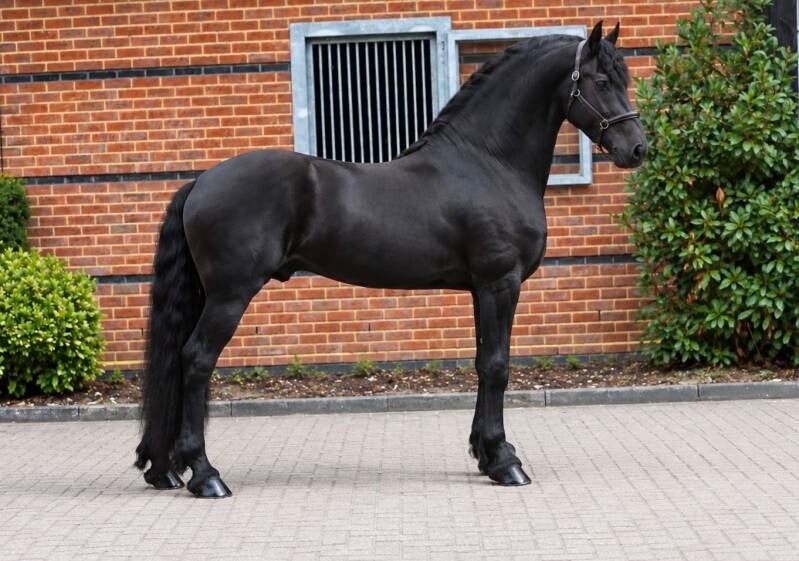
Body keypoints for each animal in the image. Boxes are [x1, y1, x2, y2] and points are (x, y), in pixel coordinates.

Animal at [134, 21, 647, 498]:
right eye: (603, 80)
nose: (637, 149)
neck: (489, 162)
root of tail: (201, 181)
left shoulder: (481, 289)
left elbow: (482, 362)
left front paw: (485, 454)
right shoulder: (500, 282)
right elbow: (497, 366)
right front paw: (505, 462)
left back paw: (165, 468)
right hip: (229, 296)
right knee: (196, 360)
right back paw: (206, 475)